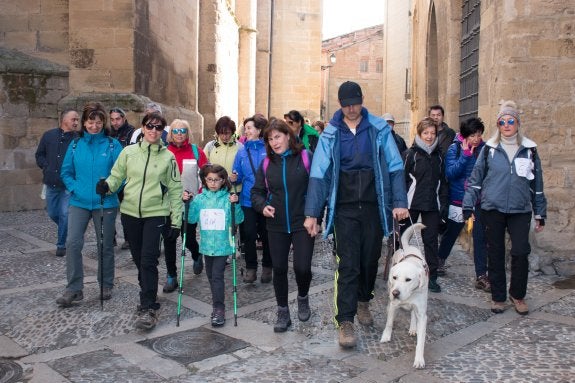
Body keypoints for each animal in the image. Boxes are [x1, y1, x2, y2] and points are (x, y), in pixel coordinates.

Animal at [380, 224, 430, 370]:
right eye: (395, 277)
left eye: (408, 279)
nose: (395, 293)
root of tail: (407, 247)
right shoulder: (394, 304)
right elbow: (389, 323)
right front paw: (386, 336)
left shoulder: (422, 314)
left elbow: (421, 341)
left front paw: (419, 360)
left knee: (413, 313)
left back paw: (413, 328)